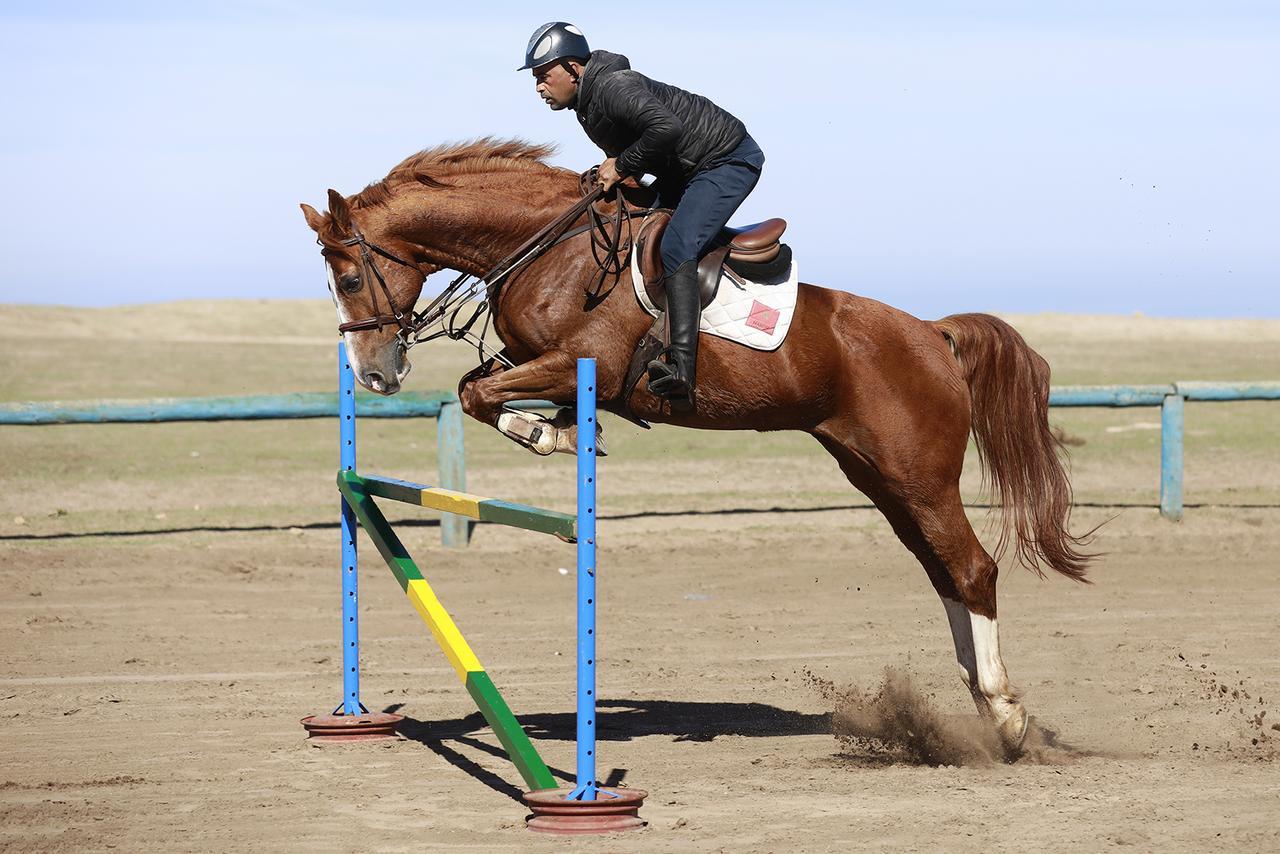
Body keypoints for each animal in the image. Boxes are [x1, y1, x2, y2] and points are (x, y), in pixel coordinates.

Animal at [299, 138, 1090, 752]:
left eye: (349, 277)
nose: (373, 374)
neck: (547, 247)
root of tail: (933, 332)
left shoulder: (583, 361)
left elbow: (481, 395)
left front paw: (550, 432)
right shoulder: (537, 361)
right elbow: (475, 387)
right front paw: (561, 429)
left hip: (917, 475)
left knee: (972, 569)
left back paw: (1007, 716)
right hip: (883, 479)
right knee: (943, 572)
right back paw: (983, 703)